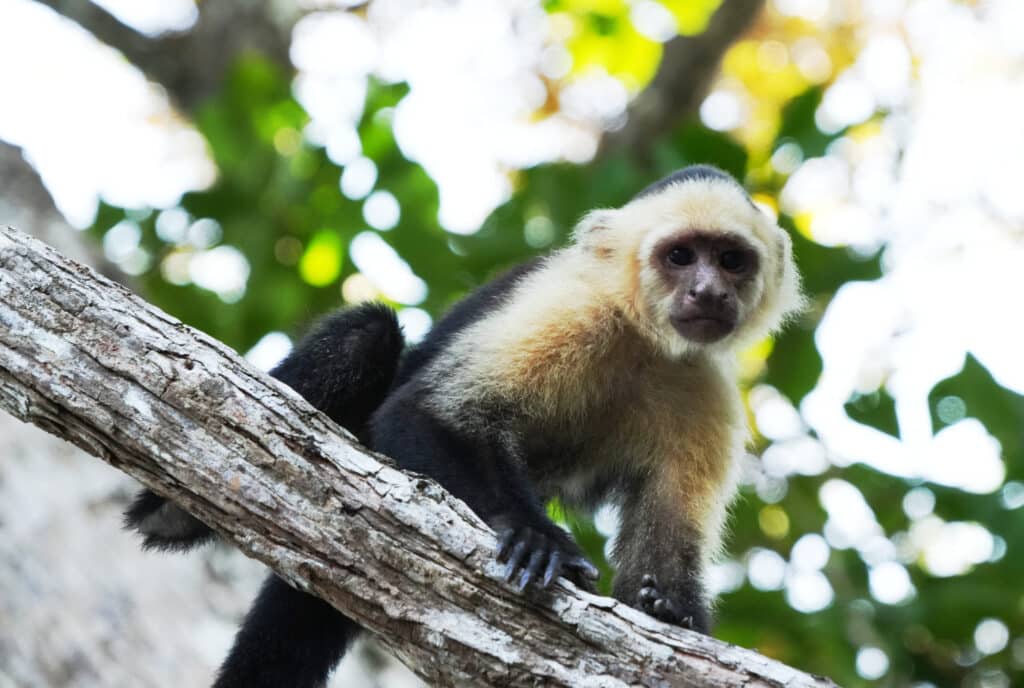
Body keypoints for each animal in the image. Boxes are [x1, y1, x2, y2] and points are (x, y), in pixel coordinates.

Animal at [126, 165, 802, 688]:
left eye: (732, 261)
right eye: (680, 256)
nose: (709, 291)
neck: (644, 338)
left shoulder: (705, 389)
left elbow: (659, 561)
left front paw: (669, 610)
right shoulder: (571, 309)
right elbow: (426, 412)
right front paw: (534, 536)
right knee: (370, 333)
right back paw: (169, 513)